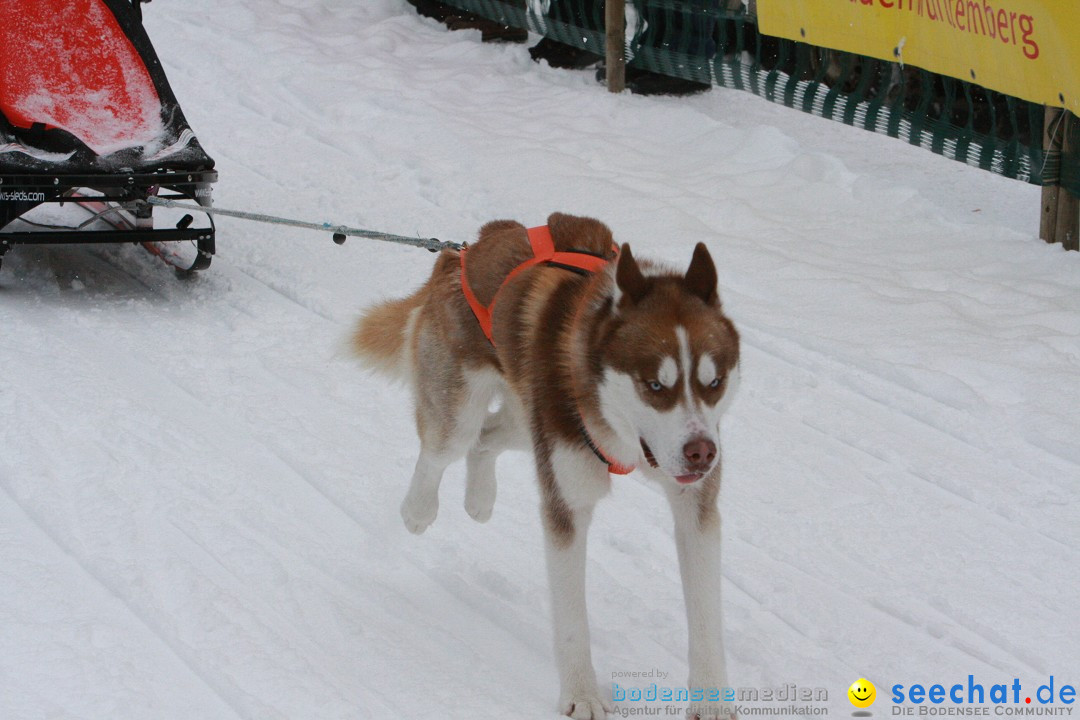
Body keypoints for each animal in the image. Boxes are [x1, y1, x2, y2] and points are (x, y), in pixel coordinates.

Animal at [354, 213, 743, 720]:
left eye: (714, 382)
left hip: (528, 420)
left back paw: (479, 498)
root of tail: (462, 253)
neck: (621, 432)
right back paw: (418, 510)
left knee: (485, 440)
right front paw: (581, 696)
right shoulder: (567, 506)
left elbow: (706, 617)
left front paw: (711, 700)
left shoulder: (695, 510)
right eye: (655, 385)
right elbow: (573, 619)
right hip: (464, 412)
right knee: (444, 446)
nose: (703, 453)